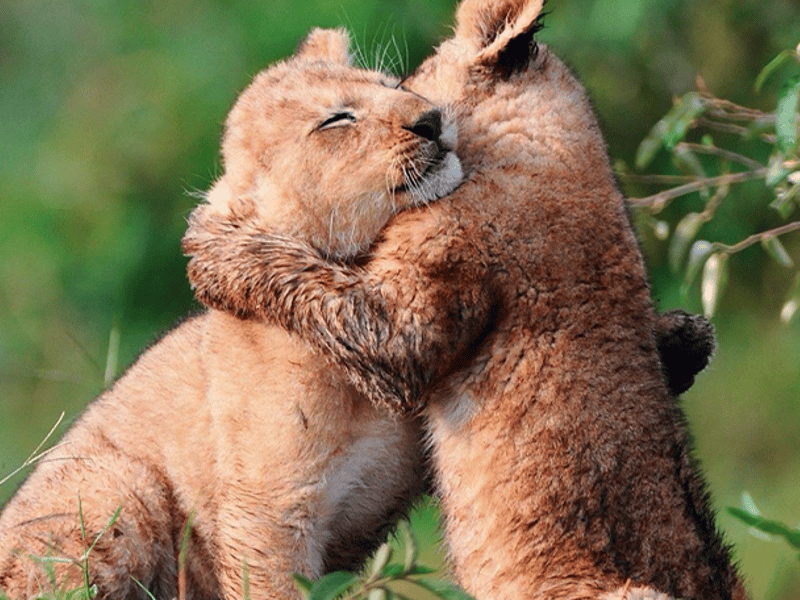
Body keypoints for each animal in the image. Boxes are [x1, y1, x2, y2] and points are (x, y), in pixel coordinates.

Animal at [0, 28, 463, 600]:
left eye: (392, 84)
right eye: (336, 120)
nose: (432, 119)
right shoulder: (267, 511)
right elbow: (273, 584)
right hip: (119, 483)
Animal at [182, 1, 749, 599]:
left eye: (401, 82)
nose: (428, 120)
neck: (561, 142)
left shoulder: (403, 323)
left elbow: (305, 279)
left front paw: (211, 245)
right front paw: (682, 338)